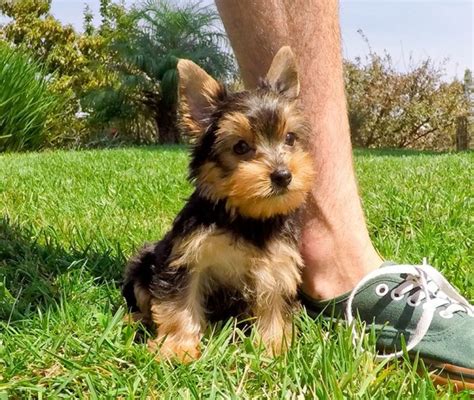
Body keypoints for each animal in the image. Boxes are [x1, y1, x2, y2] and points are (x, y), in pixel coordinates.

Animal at [122, 47, 314, 362]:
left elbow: (273, 303)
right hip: (144, 261)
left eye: (289, 138)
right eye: (240, 147)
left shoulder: (277, 264)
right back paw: (135, 318)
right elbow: (179, 303)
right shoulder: (187, 258)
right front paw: (177, 347)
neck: (246, 216)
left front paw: (273, 348)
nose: (283, 175)